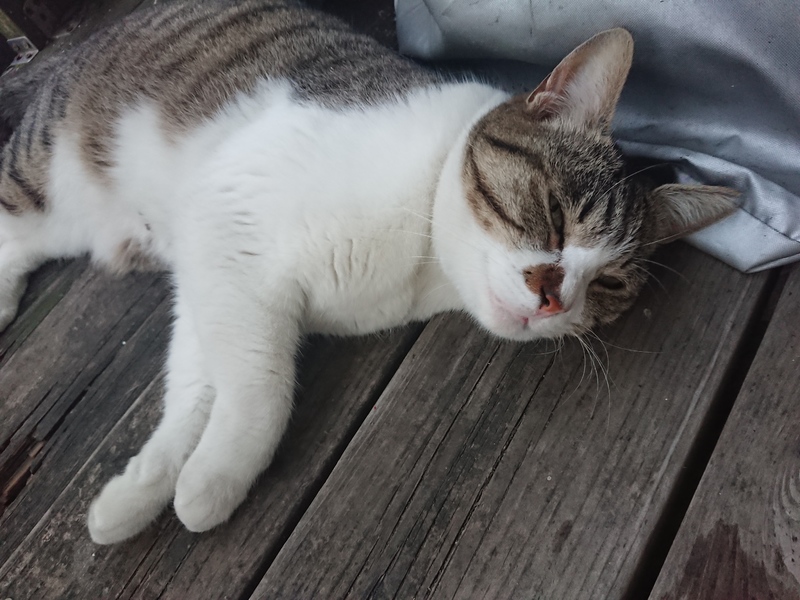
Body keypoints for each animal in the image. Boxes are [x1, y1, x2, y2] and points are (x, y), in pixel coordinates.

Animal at [0, 0, 736, 544]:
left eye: (608, 284)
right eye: (554, 215)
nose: (554, 297)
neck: (421, 259)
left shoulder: (217, 272)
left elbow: (199, 387)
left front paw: (147, 489)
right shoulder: (229, 217)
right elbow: (262, 387)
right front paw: (216, 479)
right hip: (50, 175)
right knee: (12, 217)